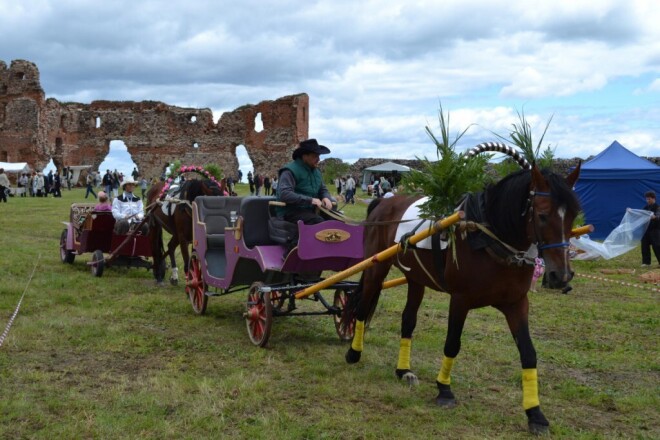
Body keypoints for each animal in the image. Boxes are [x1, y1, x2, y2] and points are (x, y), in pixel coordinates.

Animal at [342, 162, 580, 434]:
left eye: (574, 214)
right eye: (542, 215)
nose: (561, 275)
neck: (487, 237)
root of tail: (383, 201)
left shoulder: (516, 303)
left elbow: (528, 353)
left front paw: (535, 413)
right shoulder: (460, 300)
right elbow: (452, 344)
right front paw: (444, 389)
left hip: (416, 278)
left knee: (408, 321)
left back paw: (403, 370)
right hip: (376, 268)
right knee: (361, 309)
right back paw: (354, 353)